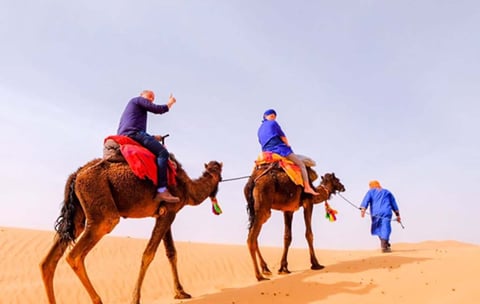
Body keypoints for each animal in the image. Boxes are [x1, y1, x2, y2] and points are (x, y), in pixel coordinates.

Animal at [39, 154, 223, 304]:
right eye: (220, 176)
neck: (187, 188)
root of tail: (75, 175)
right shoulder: (169, 212)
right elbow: (148, 254)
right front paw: (135, 298)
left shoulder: (164, 213)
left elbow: (171, 253)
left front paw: (181, 292)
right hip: (102, 212)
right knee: (74, 256)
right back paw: (99, 300)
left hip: (78, 214)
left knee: (49, 260)